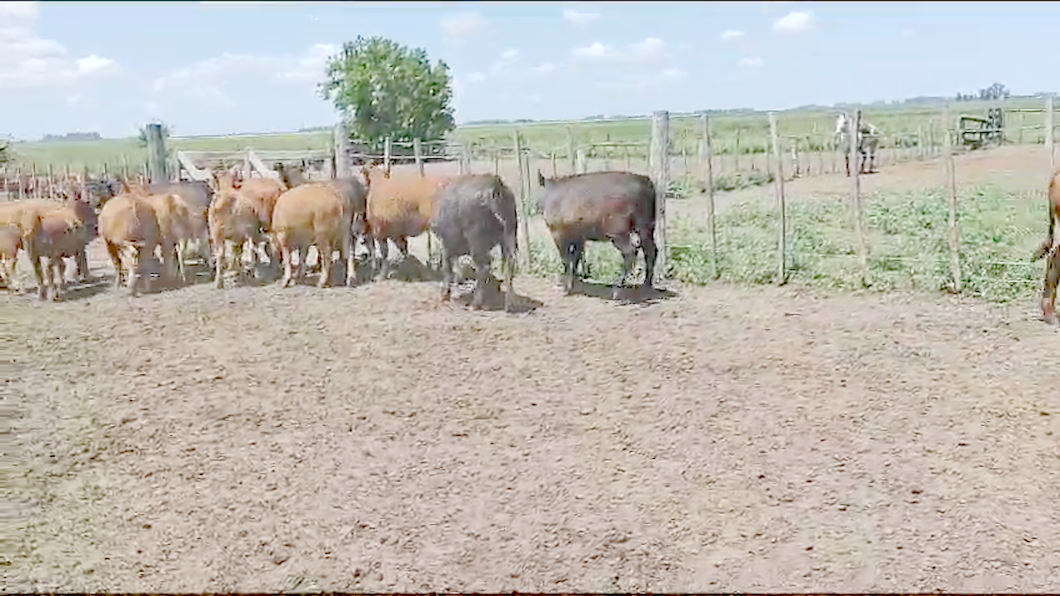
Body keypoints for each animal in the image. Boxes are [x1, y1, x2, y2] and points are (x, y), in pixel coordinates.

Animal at [428, 171, 515, 311]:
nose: (432, 223)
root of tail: (494, 186)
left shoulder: (446, 244)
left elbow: (447, 268)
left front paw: (445, 295)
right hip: (509, 237)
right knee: (509, 265)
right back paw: (509, 305)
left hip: (476, 242)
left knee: (484, 267)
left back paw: (475, 304)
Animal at [534, 169, 657, 299]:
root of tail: (645, 180)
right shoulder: (578, 236)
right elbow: (576, 257)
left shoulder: (559, 233)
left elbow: (566, 259)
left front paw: (566, 287)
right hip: (646, 227)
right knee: (651, 251)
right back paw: (646, 284)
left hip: (618, 232)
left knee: (631, 252)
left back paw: (618, 288)